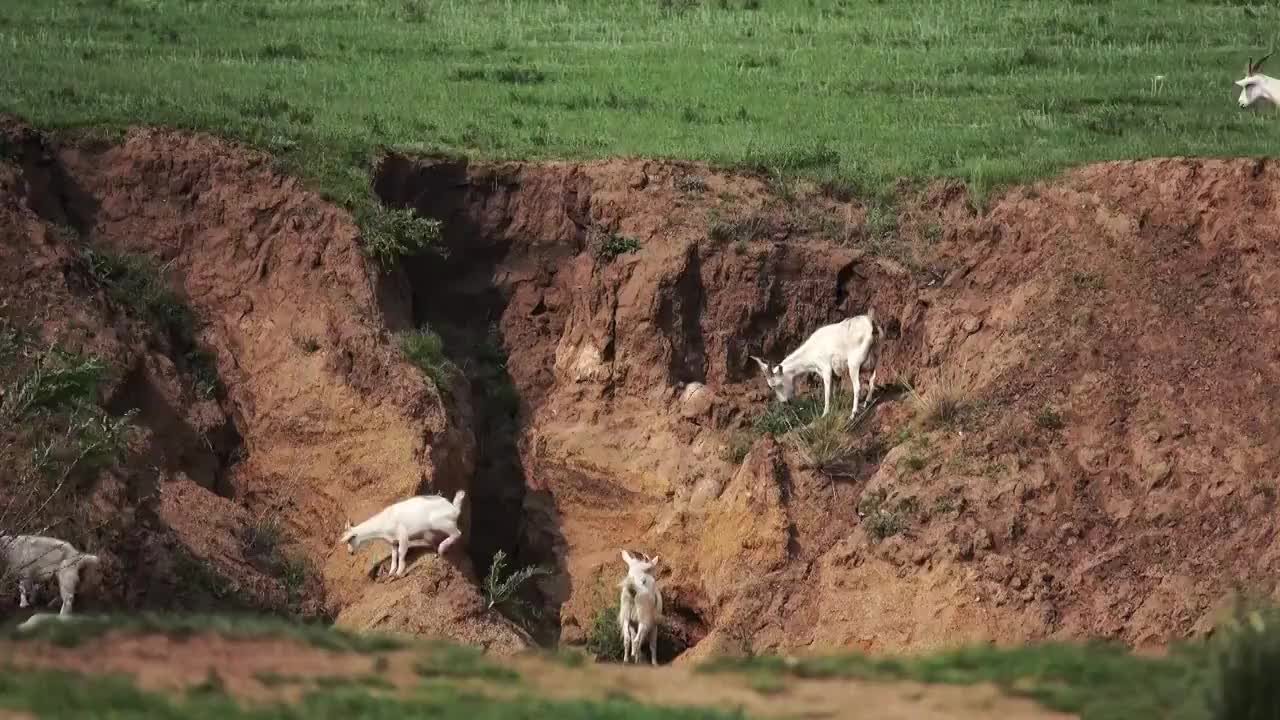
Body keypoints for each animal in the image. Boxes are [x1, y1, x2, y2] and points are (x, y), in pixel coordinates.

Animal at [337, 486, 468, 576]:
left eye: (350, 539)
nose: (350, 553)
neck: (382, 523)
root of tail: (454, 509)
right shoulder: (393, 541)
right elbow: (394, 555)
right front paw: (391, 571)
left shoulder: (403, 535)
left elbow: (401, 552)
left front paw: (399, 572)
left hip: (442, 522)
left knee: (457, 533)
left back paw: (441, 548)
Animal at [747, 307, 880, 417]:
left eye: (776, 385)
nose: (785, 402)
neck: (811, 350)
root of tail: (871, 326)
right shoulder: (834, 374)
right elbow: (835, 391)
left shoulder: (826, 369)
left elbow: (827, 392)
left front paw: (825, 413)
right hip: (875, 358)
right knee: (873, 379)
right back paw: (867, 402)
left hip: (854, 364)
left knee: (857, 386)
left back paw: (853, 414)